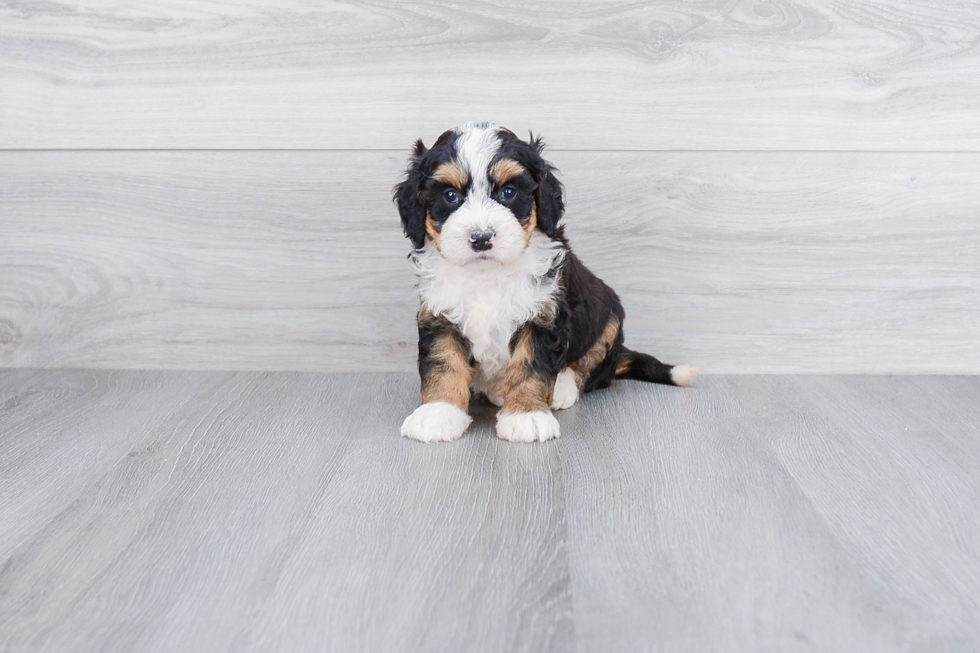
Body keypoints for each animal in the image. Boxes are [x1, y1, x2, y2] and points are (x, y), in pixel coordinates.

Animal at [394, 122, 700, 444]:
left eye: (509, 192)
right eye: (450, 196)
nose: (481, 238)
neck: (487, 273)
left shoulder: (543, 312)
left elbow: (531, 365)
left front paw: (526, 415)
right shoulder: (440, 313)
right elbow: (443, 362)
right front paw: (438, 413)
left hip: (609, 319)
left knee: (590, 367)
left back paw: (562, 387)